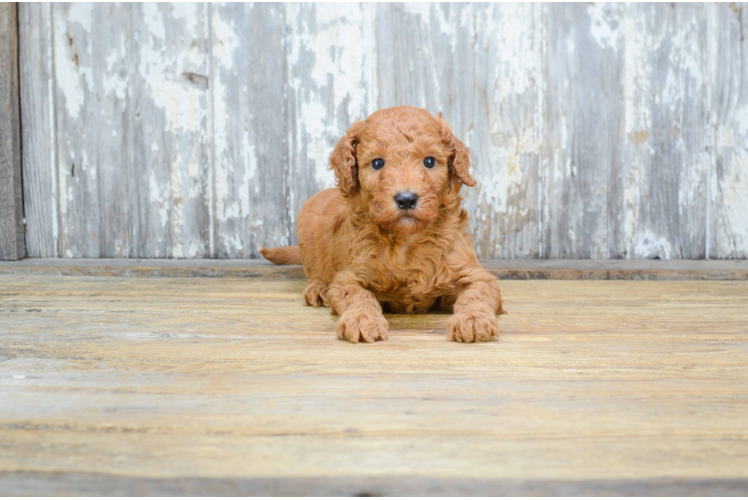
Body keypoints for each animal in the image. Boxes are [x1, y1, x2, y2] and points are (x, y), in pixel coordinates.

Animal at [262, 104, 502, 340]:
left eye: (429, 161)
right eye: (377, 163)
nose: (406, 199)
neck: (405, 241)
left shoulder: (475, 273)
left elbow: (476, 293)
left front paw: (472, 319)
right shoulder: (348, 277)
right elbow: (358, 295)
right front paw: (361, 319)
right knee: (314, 271)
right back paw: (318, 289)